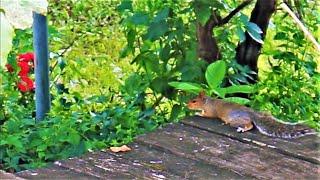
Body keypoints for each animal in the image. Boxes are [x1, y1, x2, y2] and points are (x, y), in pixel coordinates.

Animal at [188, 91, 316, 139]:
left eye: (194, 101)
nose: (187, 105)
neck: (208, 102)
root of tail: (252, 113)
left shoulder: (211, 111)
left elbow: (206, 115)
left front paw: (197, 113)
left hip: (235, 121)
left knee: (250, 125)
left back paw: (242, 129)